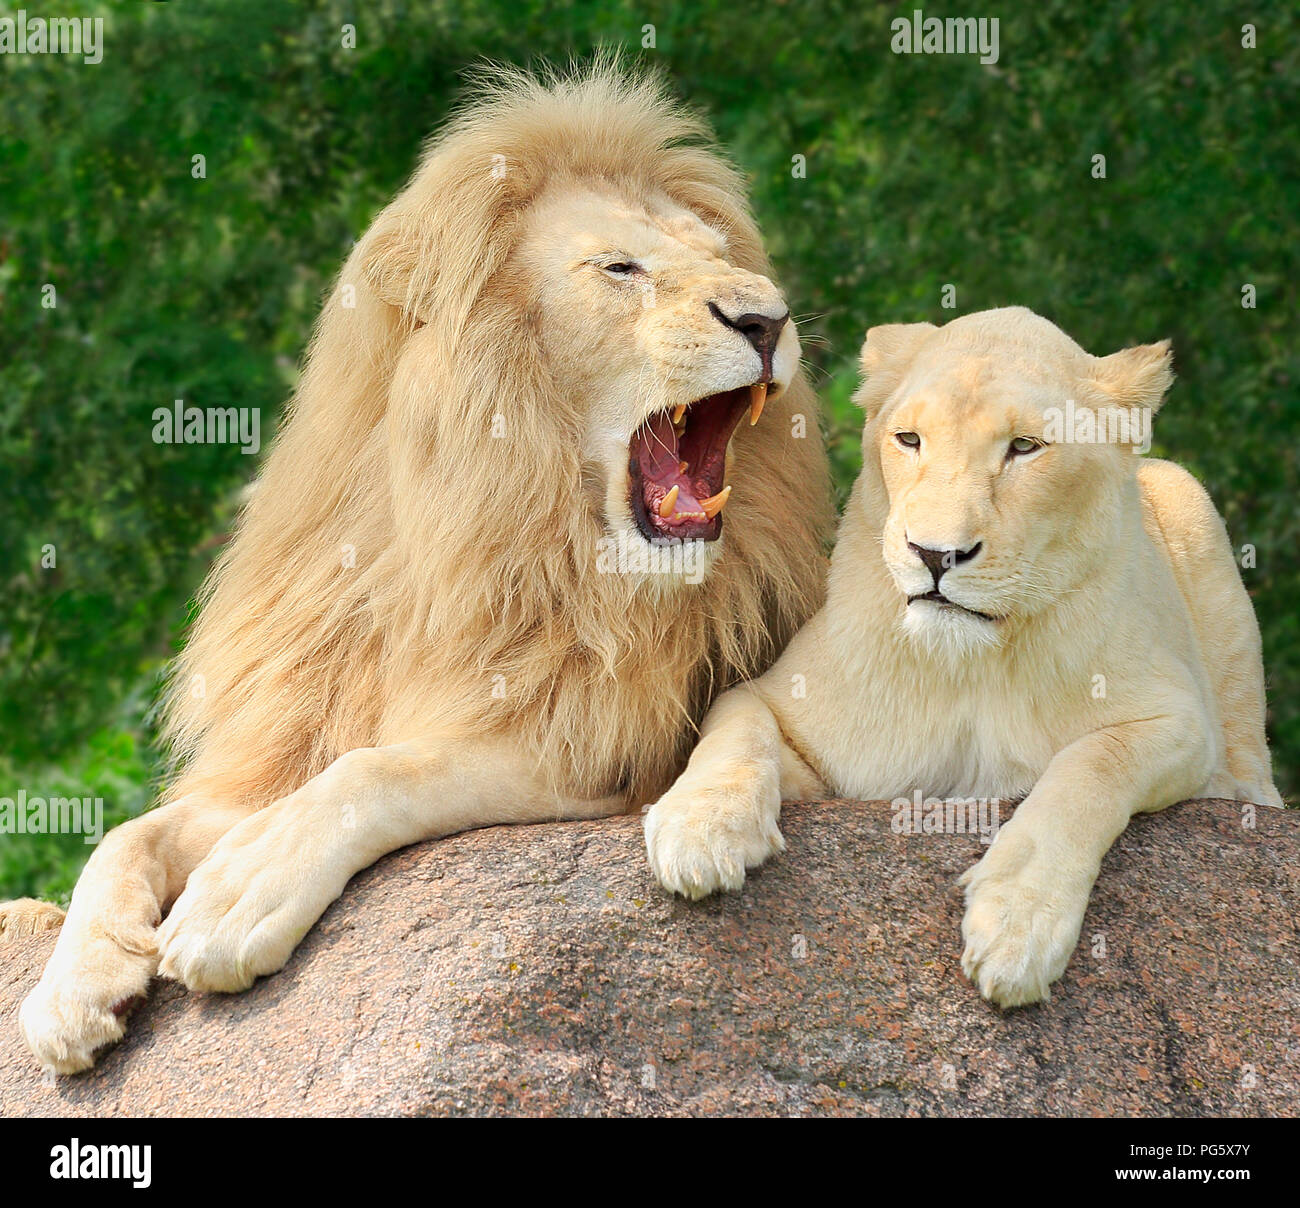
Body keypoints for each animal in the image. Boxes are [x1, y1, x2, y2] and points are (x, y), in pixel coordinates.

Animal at [0, 63, 826, 1076]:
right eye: (620, 269)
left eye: (721, 255)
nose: (766, 318)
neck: (486, 533)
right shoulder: (295, 734)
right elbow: (128, 833)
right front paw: (72, 987)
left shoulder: (600, 745)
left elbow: (382, 772)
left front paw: (238, 893)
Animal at [650, 306, 1279, 1003]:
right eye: (909, 439)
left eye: (1025, 447)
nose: (935, 554)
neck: (970, 666)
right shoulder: (807, 732)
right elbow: (735, 726)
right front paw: (699, 830)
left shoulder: (1180, 720)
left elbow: (1089, 767)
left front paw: (1017, 925)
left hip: (1191, 508)